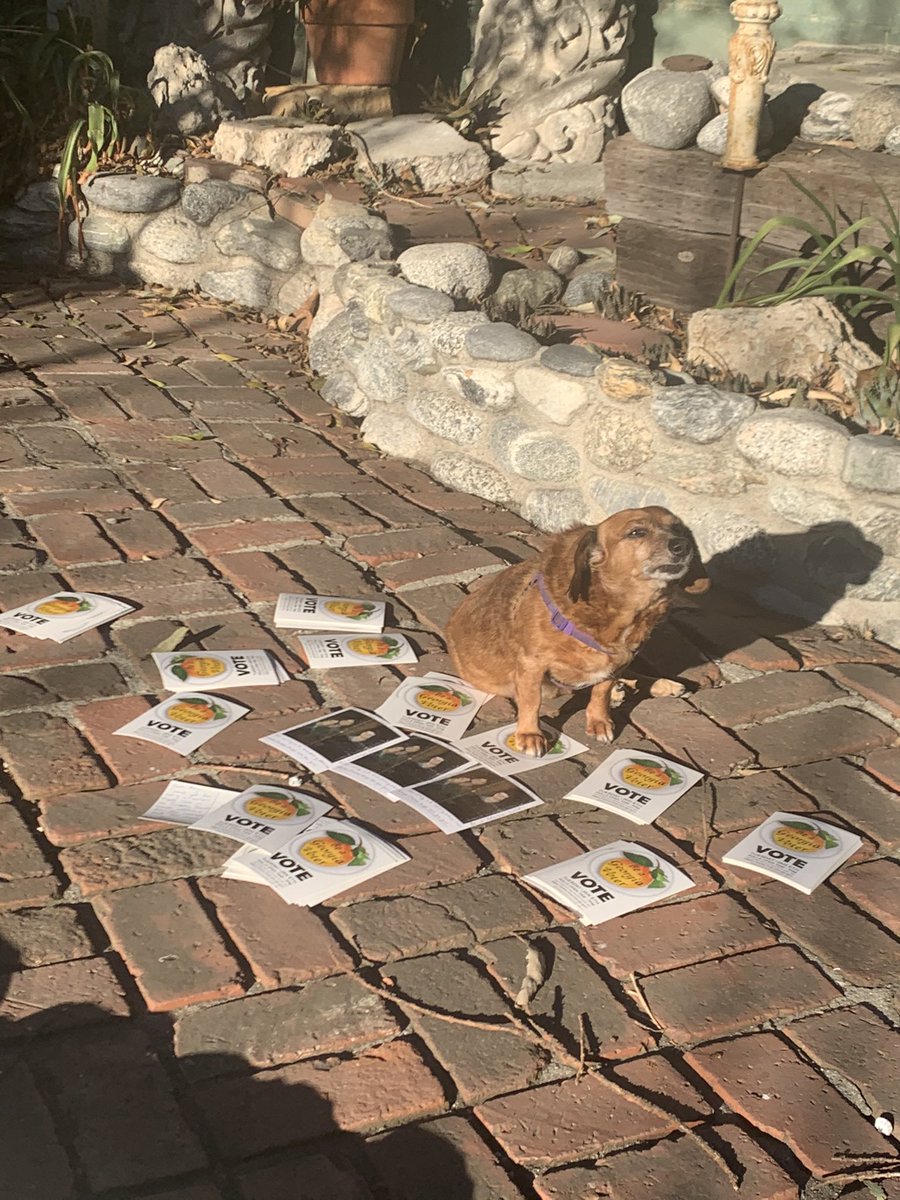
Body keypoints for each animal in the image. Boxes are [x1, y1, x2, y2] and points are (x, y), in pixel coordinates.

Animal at [448, 508, 710, 753]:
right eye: (637, 532)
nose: (682, 545)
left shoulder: (615, 664)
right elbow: (532, 701)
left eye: (679, 529)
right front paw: (530, 734)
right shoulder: (532, 665)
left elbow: (600, 693)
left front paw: (599, 721)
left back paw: (658, 685)